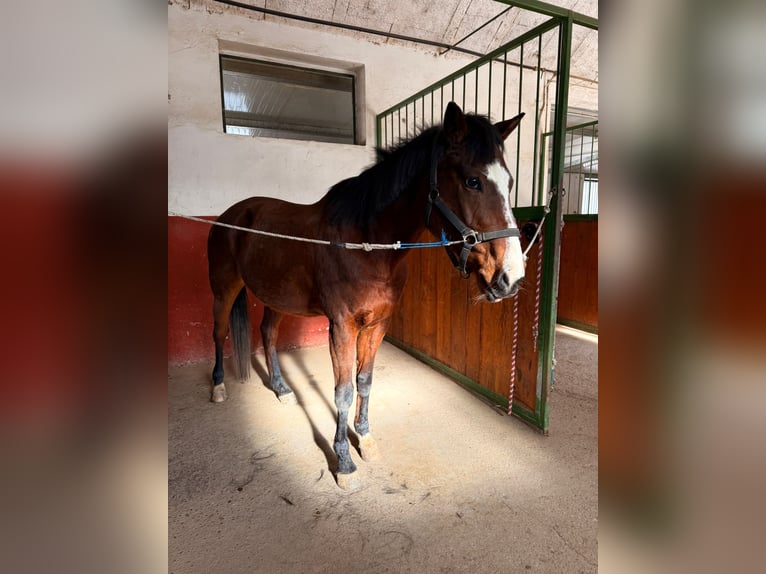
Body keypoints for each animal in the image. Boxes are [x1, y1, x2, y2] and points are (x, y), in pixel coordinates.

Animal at [207, 102, 526, 489]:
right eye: (472, 181)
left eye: (509, 182)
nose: (511, 277)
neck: (366, 244)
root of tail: (230, 215)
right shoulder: (342, 326)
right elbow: (343, 390)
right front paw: (343, 461)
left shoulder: (377, 324)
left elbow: (365, 381)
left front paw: (366, 439)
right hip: (224, 287)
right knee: (219, 332)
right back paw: (218, 387)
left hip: (276, 298)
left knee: (267, 334)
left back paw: (282, 390)